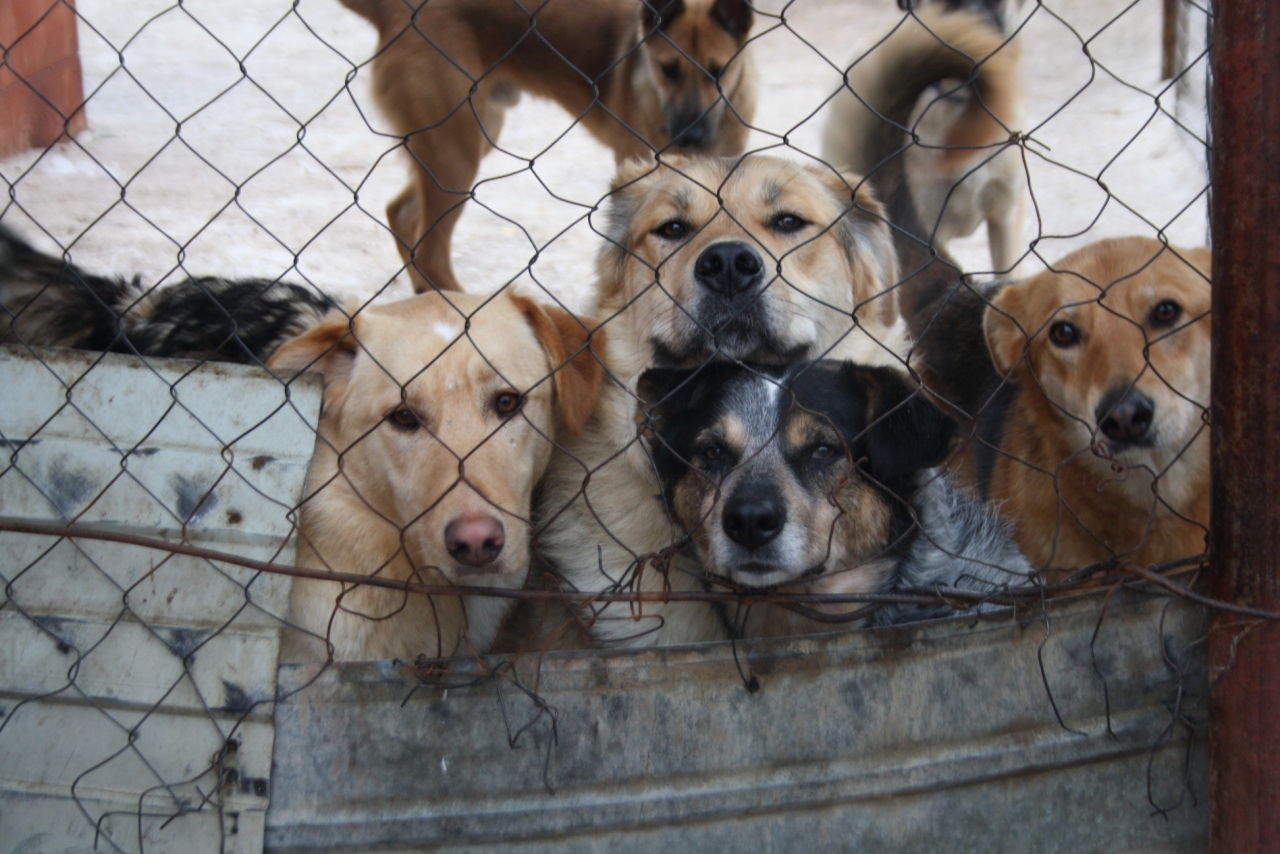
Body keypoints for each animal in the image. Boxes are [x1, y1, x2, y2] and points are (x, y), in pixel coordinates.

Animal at [343, 0, 757, 294]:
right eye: (668, 69)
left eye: (718, 71)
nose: (691, 137)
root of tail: (401, 10)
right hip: (455, 153)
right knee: (428, 250)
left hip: (465, 140)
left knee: (402, 214)